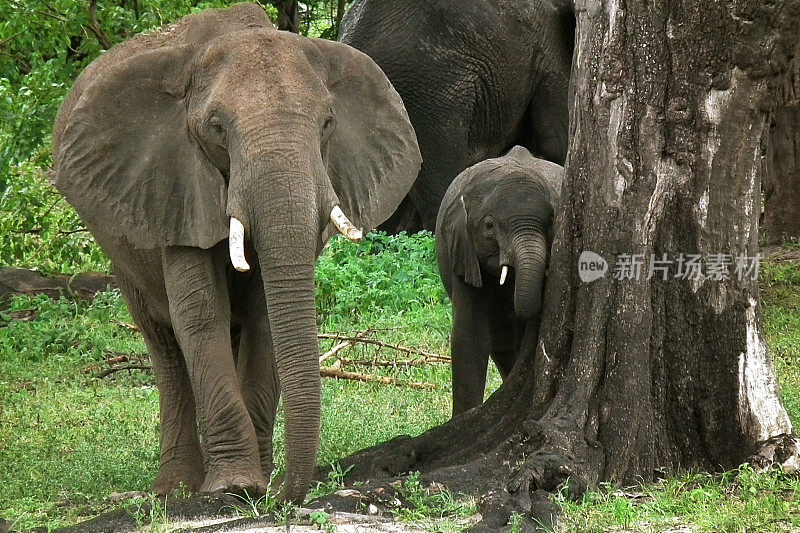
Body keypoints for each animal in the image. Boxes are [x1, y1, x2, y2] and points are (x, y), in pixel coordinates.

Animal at [52, 3, 422, 502]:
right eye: (217, 128)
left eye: (327, 123)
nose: (283, 493)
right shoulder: (177, 187)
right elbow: (200, 314)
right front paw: (235, 486)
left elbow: (265, 313)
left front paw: (255, 484)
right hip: (120, 247)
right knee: (164, 345)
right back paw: (175, 488)